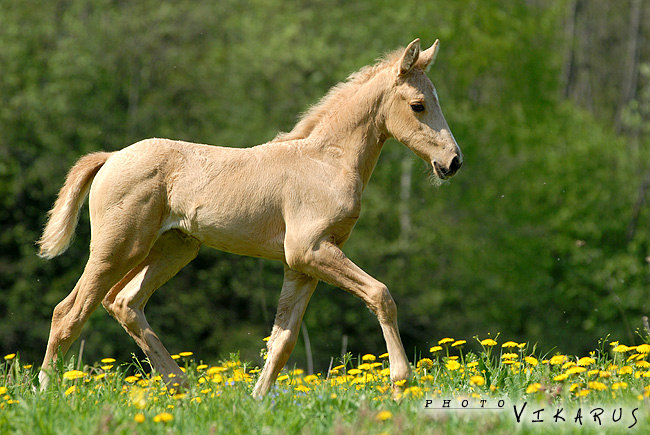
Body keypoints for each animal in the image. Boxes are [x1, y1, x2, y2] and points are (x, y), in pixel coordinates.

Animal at [36, 39, 460, 396]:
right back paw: (46, 392)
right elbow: (380, 294)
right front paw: (401, 380)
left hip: (174, 248)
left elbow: (282, 339)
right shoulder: (310, 250)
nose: (453, 162)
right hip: (118, 248)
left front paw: (257, 401)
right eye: (418, 105)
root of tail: (111, 157)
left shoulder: (302, 264)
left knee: (123, 302)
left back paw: (184, 388)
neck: (326, 161)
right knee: (68, 312)